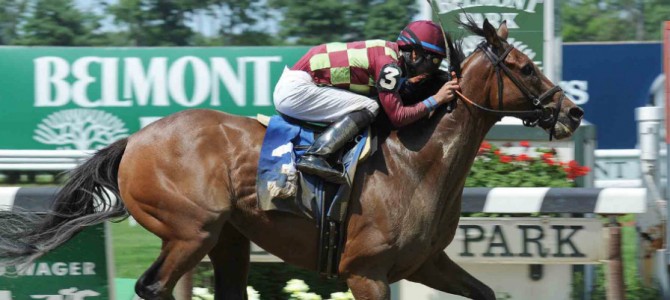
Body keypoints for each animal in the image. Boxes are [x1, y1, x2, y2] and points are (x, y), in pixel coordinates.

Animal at [0, 19, 584, 300]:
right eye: (524, 68)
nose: (573, 111)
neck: (418, 167)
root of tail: (135, 140)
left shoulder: (425, 263)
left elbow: (484, 292)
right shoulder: (365, 272)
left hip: (228, 238)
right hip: (191, 230)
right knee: (154, 287)